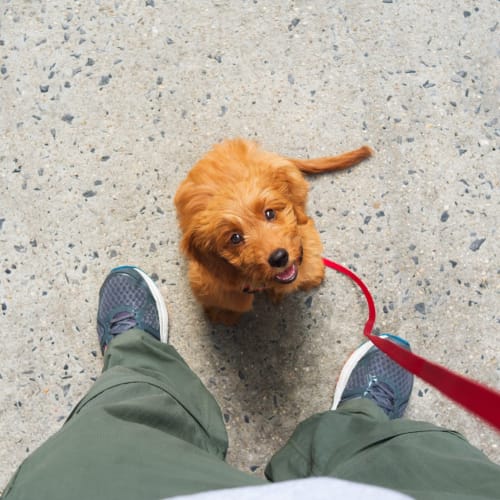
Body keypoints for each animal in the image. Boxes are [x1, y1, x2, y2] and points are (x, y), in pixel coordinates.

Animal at [174, 138, 374, 324]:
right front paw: (223, 314)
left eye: (269, 213)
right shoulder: (212, 283)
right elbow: (228, 302)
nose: (279, 258)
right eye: (235, 238)